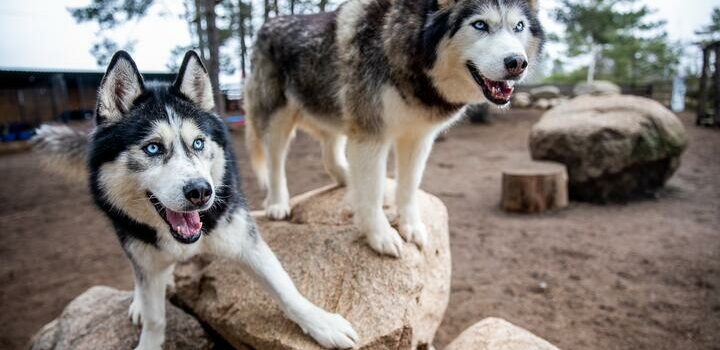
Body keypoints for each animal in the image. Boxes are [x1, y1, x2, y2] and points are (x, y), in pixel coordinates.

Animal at [32, 51, 358, 350]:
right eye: (153, 148)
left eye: (198, 143)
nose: (201, 191)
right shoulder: (143, 255)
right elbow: (154, 315)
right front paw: (148, 331)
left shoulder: (244, 240)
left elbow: (285, 289)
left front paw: (321, 323)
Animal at [245, 0, 544, 258]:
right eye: (480, 24)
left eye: (518, 26)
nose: (517, 63)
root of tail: (265, 25)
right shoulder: (370, 136)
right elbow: (373, 191)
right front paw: (381, 237)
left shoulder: (419, 138)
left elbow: (408, 187)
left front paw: (411, 227)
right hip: (278, 122)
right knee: (275, 166)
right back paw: (277, 204)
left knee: (330, 156)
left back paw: (346, 178)